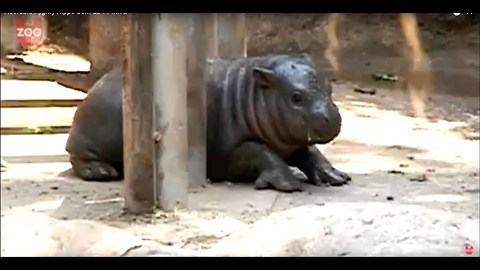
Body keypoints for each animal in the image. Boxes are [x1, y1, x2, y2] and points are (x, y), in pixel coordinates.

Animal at [65, 53, 350, 192]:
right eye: (296, 96)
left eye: (329, 87)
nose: (332, 118)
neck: (256, 92)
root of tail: (96, 85)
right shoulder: (233, 149)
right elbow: (262, 152)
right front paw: (289, 185)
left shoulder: (292, 139)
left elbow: (311, 152)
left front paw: (337, 177)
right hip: (95, 138)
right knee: (77, 156)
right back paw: (102, 172)